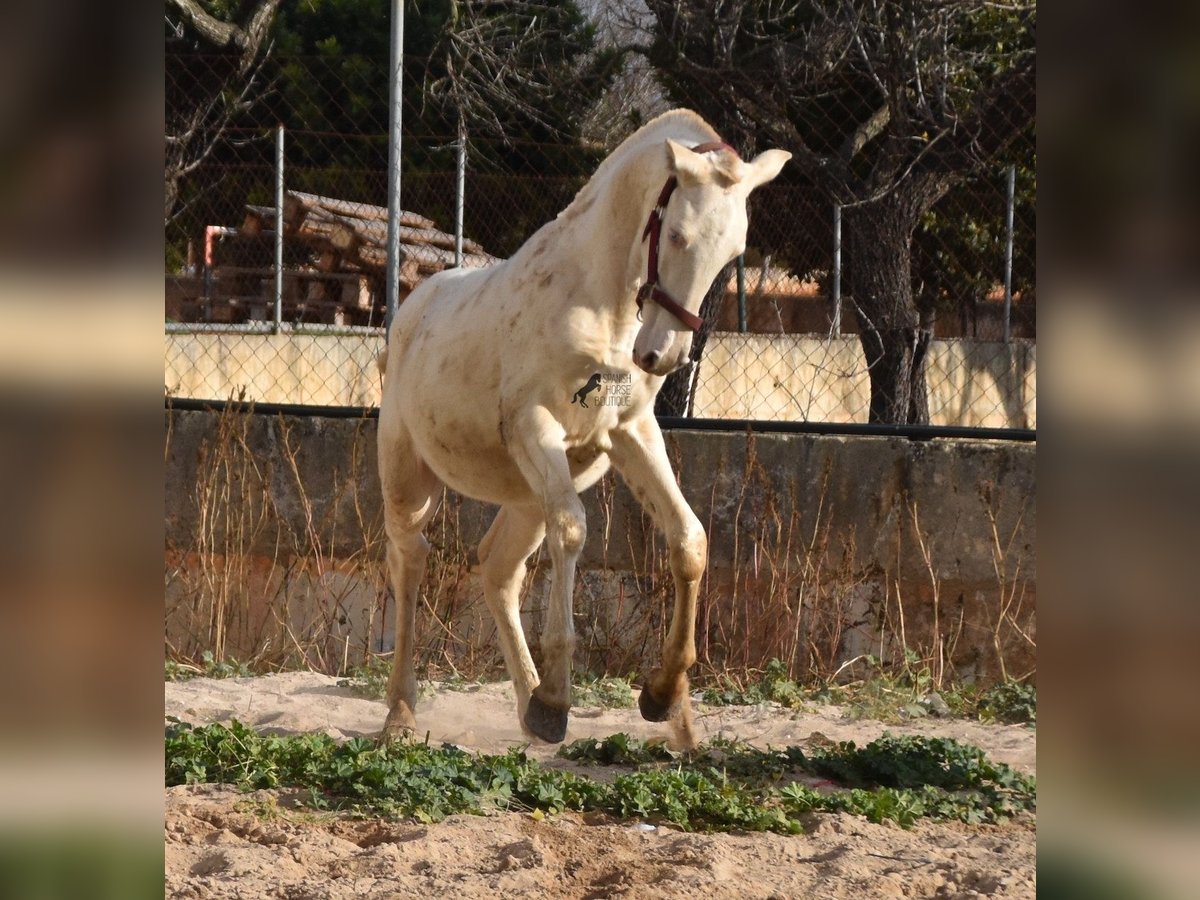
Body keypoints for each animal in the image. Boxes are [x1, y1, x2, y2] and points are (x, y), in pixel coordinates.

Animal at [374, 109, 787, 748]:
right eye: (675, 235)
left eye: (733, 252)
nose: (664, 356)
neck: (600, 305)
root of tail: (410, 312)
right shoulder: (534, 427)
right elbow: (573, 531)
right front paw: (560, 700)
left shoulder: (630, 432)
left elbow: (689, 538)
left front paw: (663, 696)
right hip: (408, 479)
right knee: (410, 560)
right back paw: (403, 711)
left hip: (525, 496)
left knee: (498, 568)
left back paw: (526, 705)